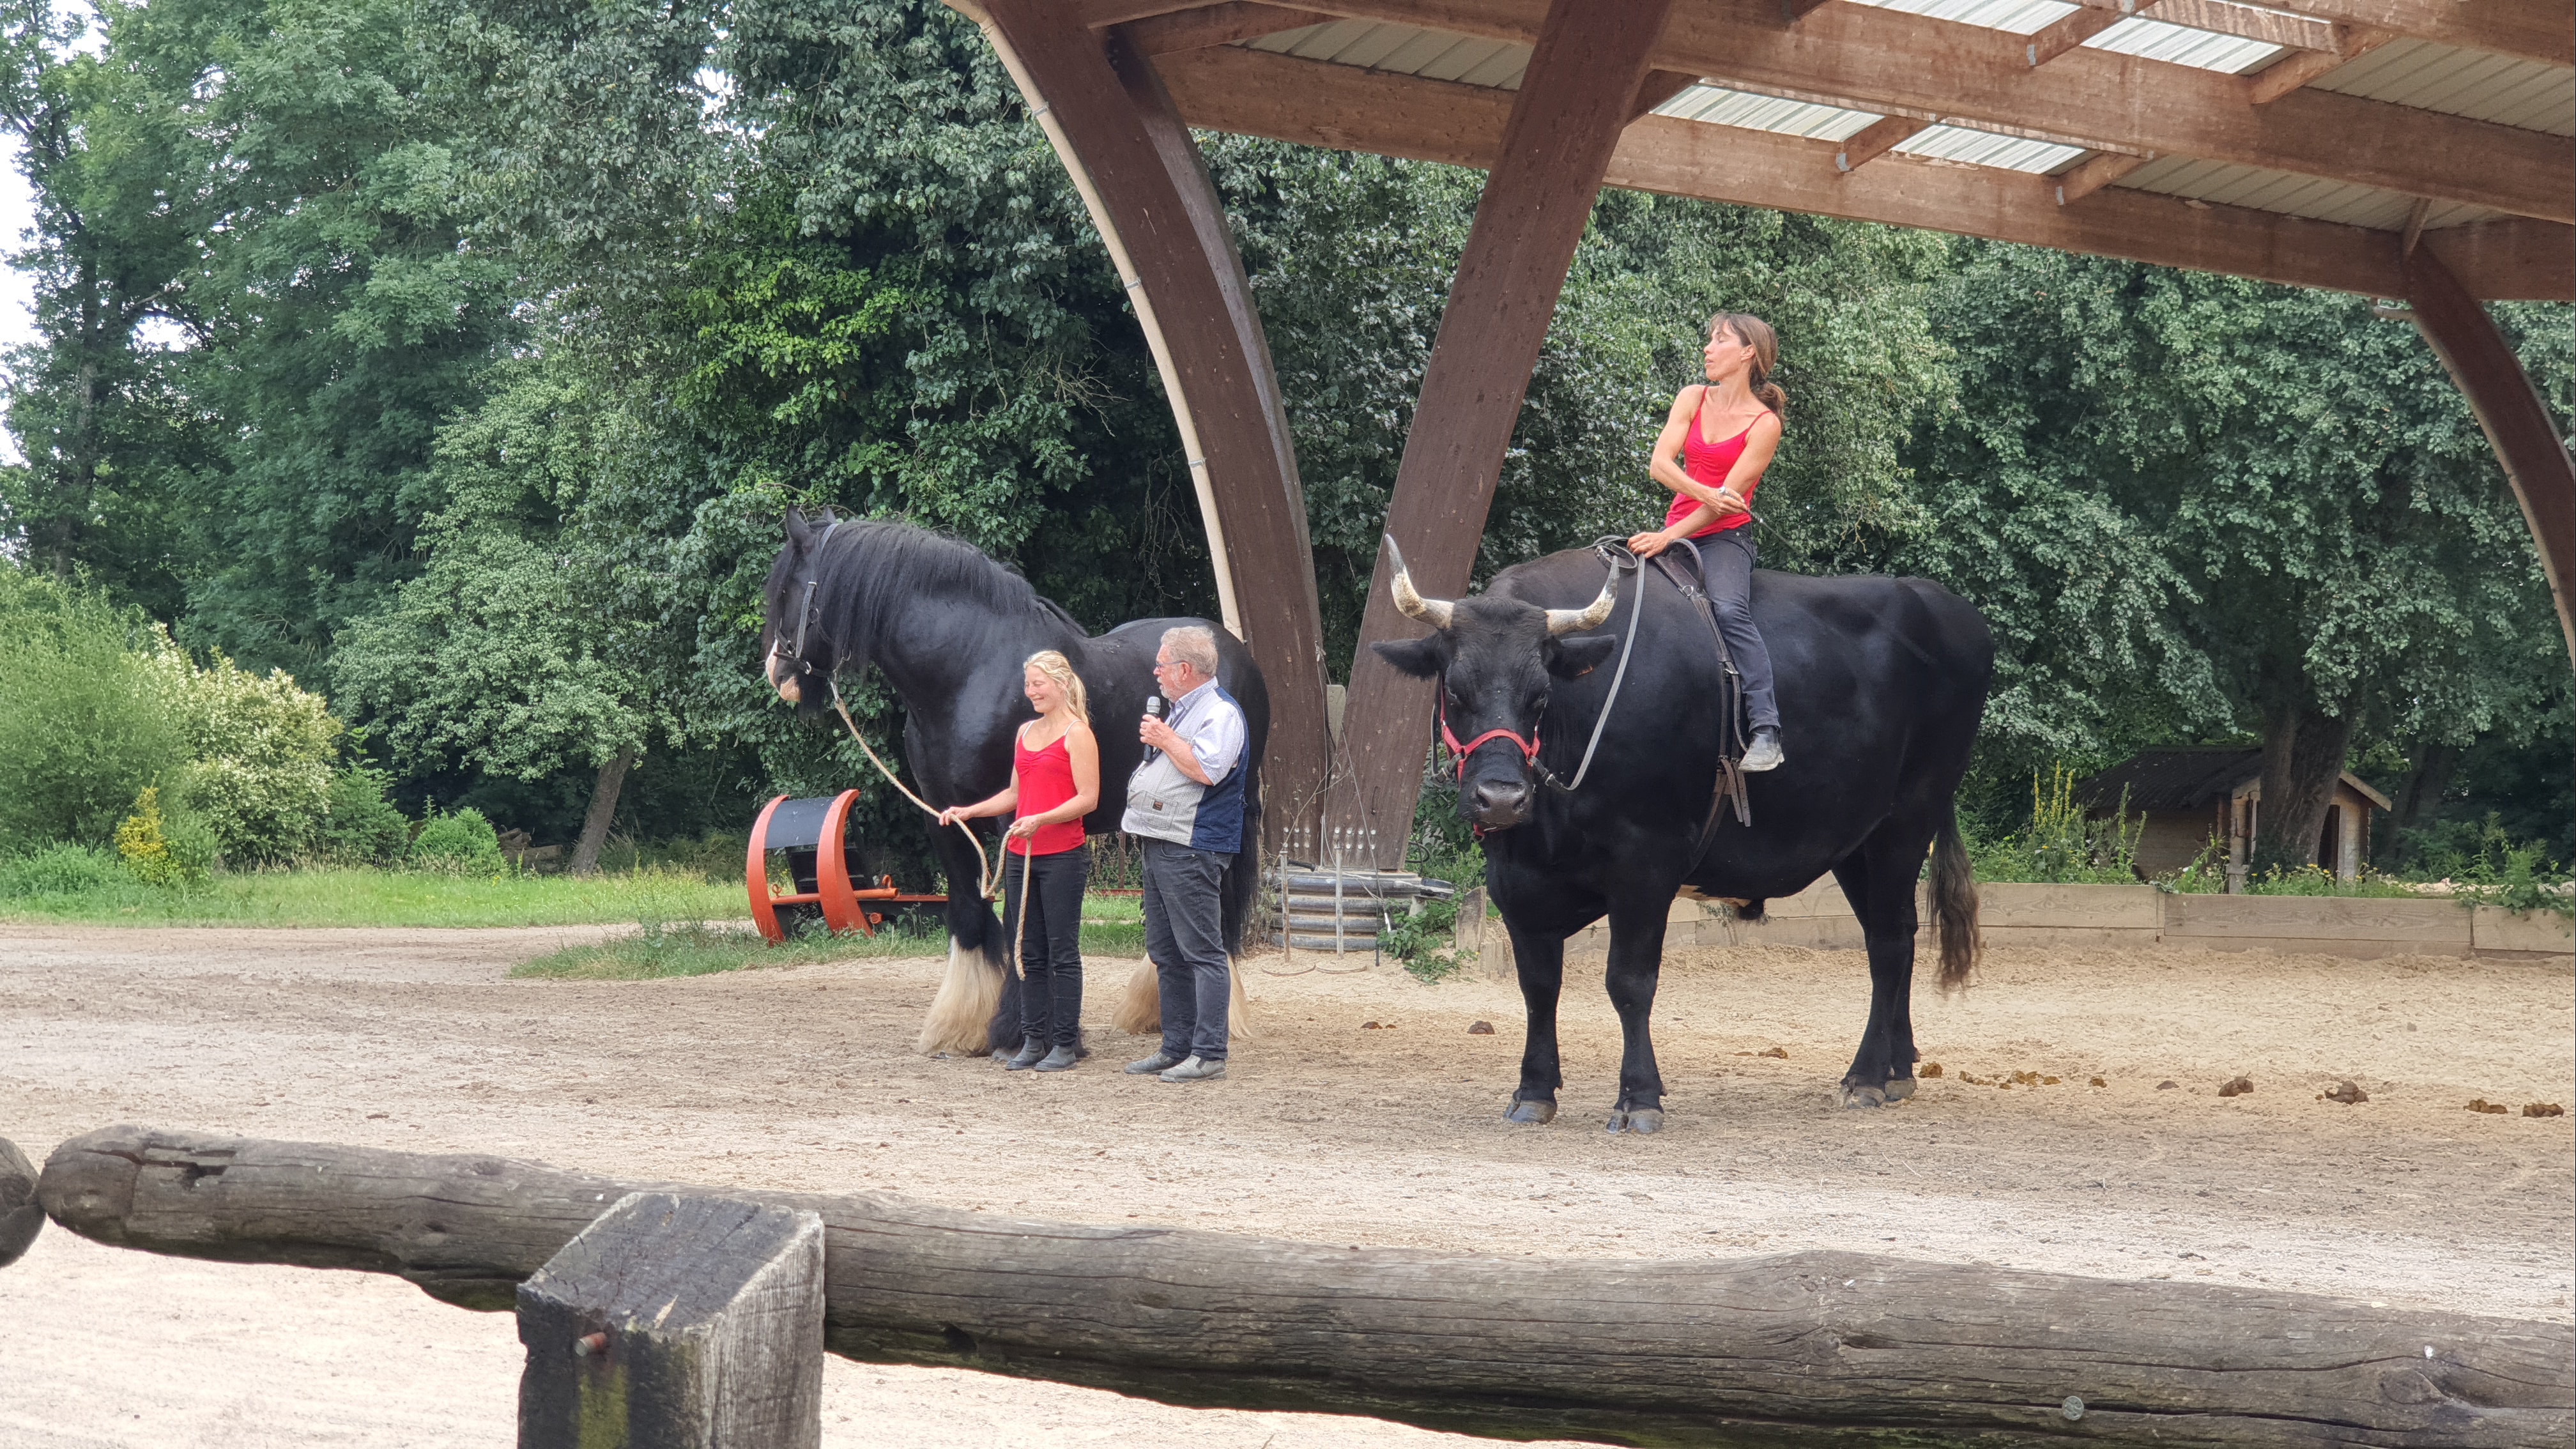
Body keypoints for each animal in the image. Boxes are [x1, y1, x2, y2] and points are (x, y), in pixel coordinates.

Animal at [760, 512, 1265, 1056]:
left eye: (787, 590)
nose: (778, 673)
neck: (968, 672)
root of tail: (1235, 652)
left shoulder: (1013, 821)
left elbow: (1020, 920)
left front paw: (1015, 1031)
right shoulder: (943, 818)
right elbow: (968, 914)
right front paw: (961, 1027)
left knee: (1215, 909)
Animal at [1369, 536, 1993, 1130]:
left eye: (1540, 694)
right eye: (1454, 690)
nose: (1500, 798)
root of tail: (1946, 604)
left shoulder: (1646, 864)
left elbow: (1630, 981)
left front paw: (1639, 1097)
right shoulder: (1516, 878)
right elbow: (1539, 987)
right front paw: (1533, 1092)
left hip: (1908, 820)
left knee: (1888, 944)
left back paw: (1864, 1077)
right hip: (1857, 842)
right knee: (1899, 933)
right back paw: (1897, 1068)